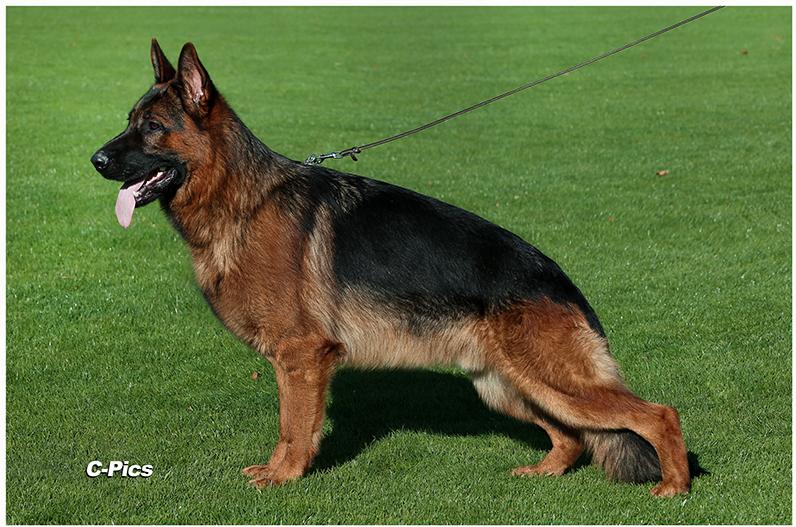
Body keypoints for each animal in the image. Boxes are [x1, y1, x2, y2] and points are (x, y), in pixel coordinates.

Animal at [90, 40, 691, 496]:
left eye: (152, 127)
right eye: (128, 122)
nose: (94, 160)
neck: (243, 201)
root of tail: (563, 284)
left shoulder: (301, 357)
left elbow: (293, 428)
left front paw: (283, 479)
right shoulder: (293, 361)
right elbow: (290, 426)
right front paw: (281, 474)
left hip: (551, 381)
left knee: (658, 414)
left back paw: (674, 488)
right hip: (508, 385)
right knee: (569, 437)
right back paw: (544, 472)